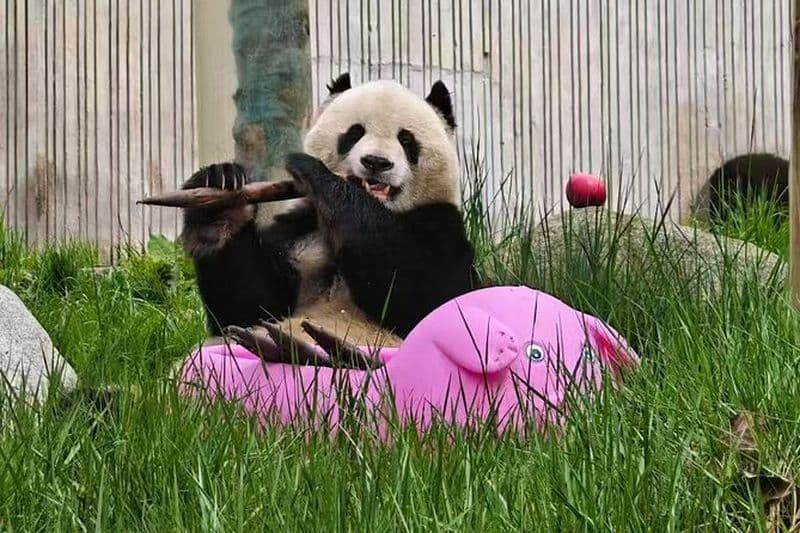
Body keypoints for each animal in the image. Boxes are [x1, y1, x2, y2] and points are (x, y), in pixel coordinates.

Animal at [179, 74, 476, 357]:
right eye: (354, 133)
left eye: (406, 139)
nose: (376, 162)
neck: (381, 209)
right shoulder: (298, 232)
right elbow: (249, 308)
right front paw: (218, 202)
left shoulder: (441, 224)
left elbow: (424, 293)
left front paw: (314, 171)